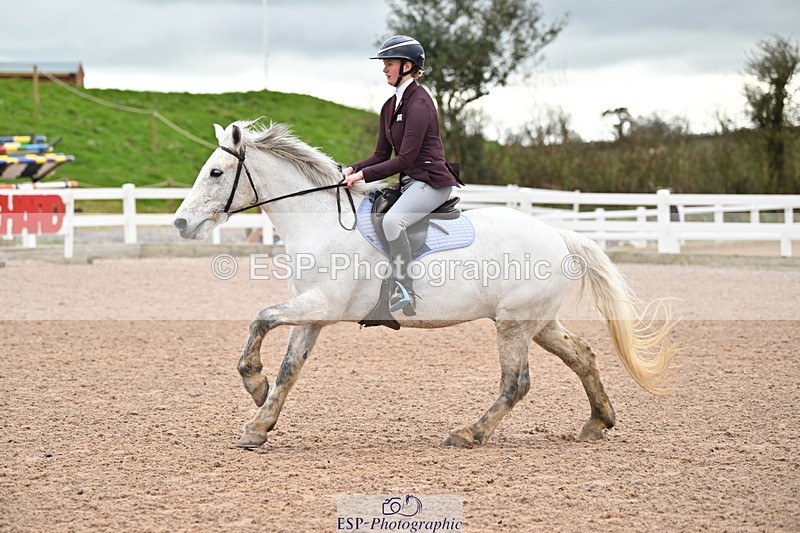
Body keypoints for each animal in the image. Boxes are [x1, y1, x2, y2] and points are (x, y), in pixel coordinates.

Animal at [173, 120, 677, 450]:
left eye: (216, 172)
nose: (180, 223)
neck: (320, 221)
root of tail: (559, 234)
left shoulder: (323, 304)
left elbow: (260, 320)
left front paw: (254, 386)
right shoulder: (313, 312)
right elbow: (289, 369)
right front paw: (259, 422)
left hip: (513, 326)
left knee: (516, 383)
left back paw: (470, 433)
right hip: (537, 322)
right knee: (582, 356)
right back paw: (598, 422)